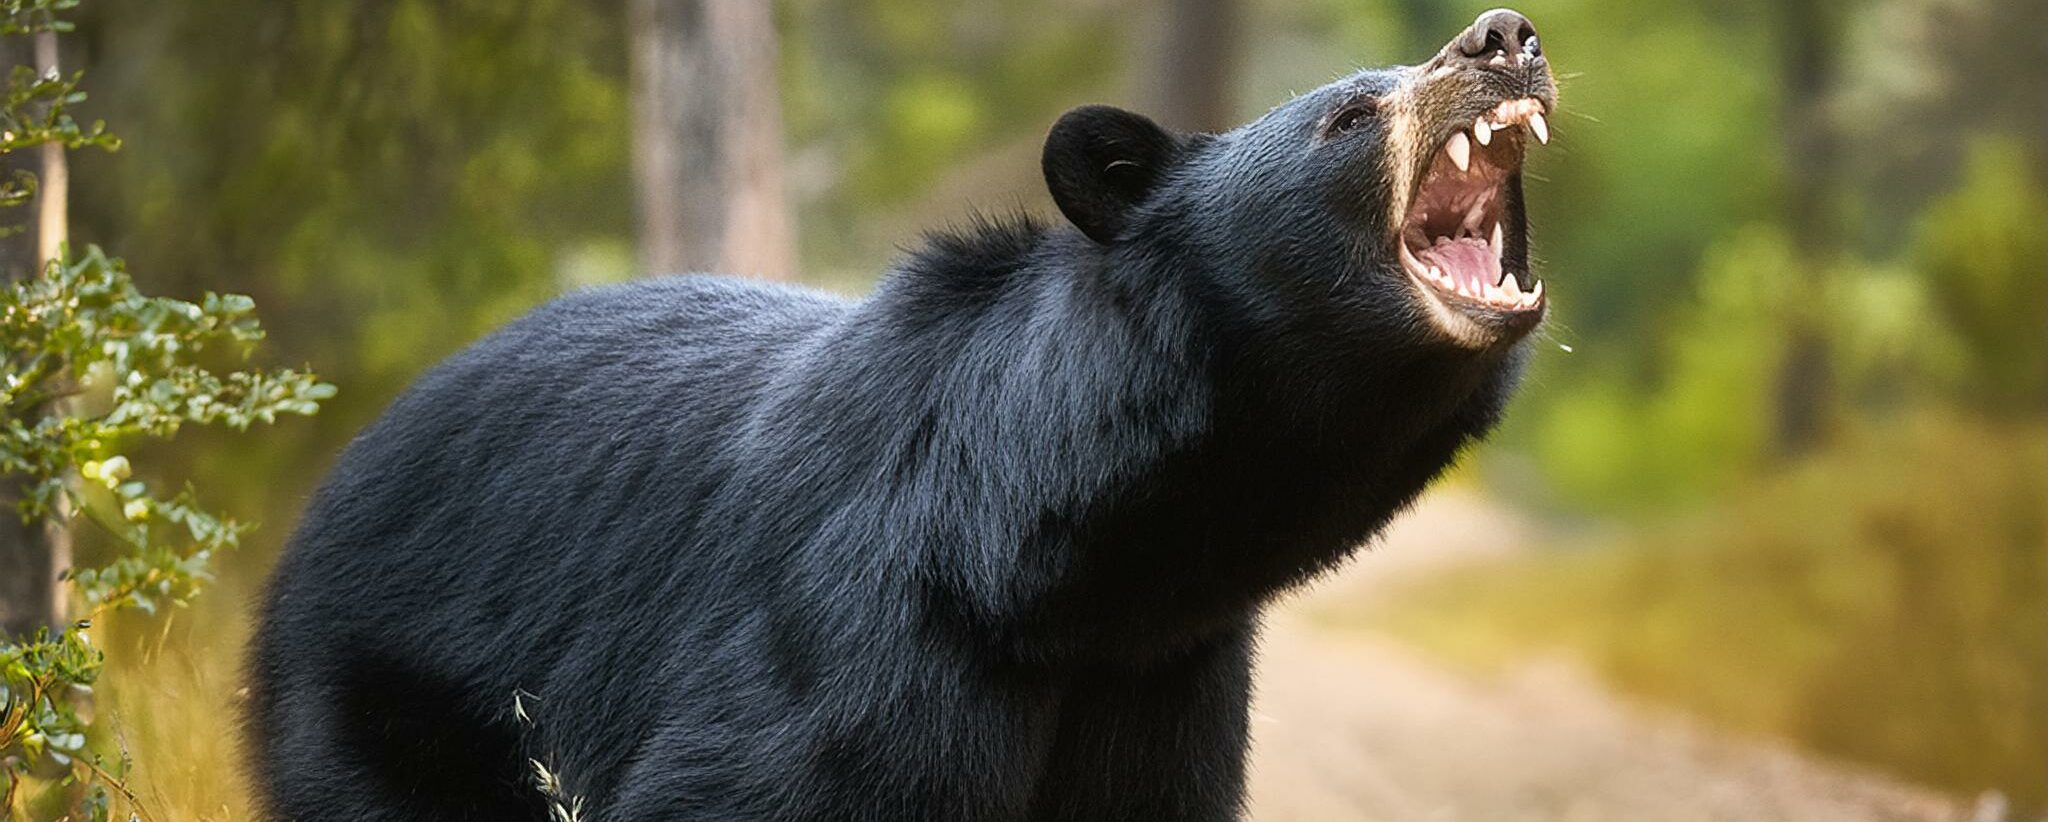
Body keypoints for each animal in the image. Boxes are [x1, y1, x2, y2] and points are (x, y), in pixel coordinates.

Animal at [256, 8, 1556, 819]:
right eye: (1347, 115)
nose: (1504, 39)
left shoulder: (1160, 690)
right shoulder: (860, 637)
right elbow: (749, 781)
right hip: (390, 700)